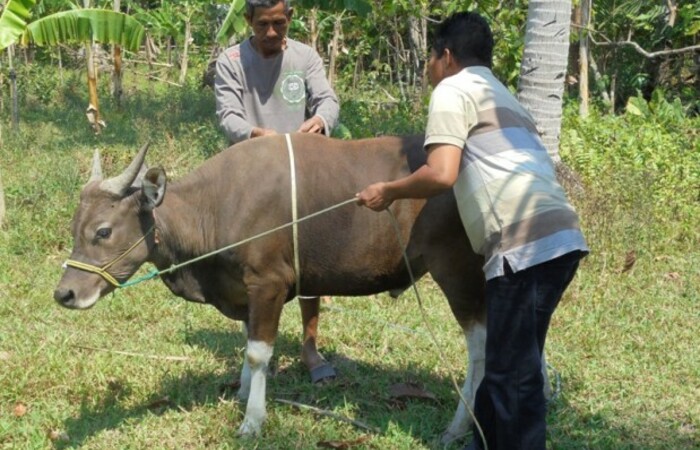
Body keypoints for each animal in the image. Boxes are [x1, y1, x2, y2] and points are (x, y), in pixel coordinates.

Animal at [53, 135, 524, 442]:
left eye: (103, 230)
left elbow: (258, 352)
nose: (65, 294)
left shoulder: (269, 284)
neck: (218, 206)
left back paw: (458, 428)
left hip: (458, 274)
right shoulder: (245, 289)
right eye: (74, 227)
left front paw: (252, 420)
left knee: (479, 351)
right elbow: (248, 344)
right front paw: (243, 392)